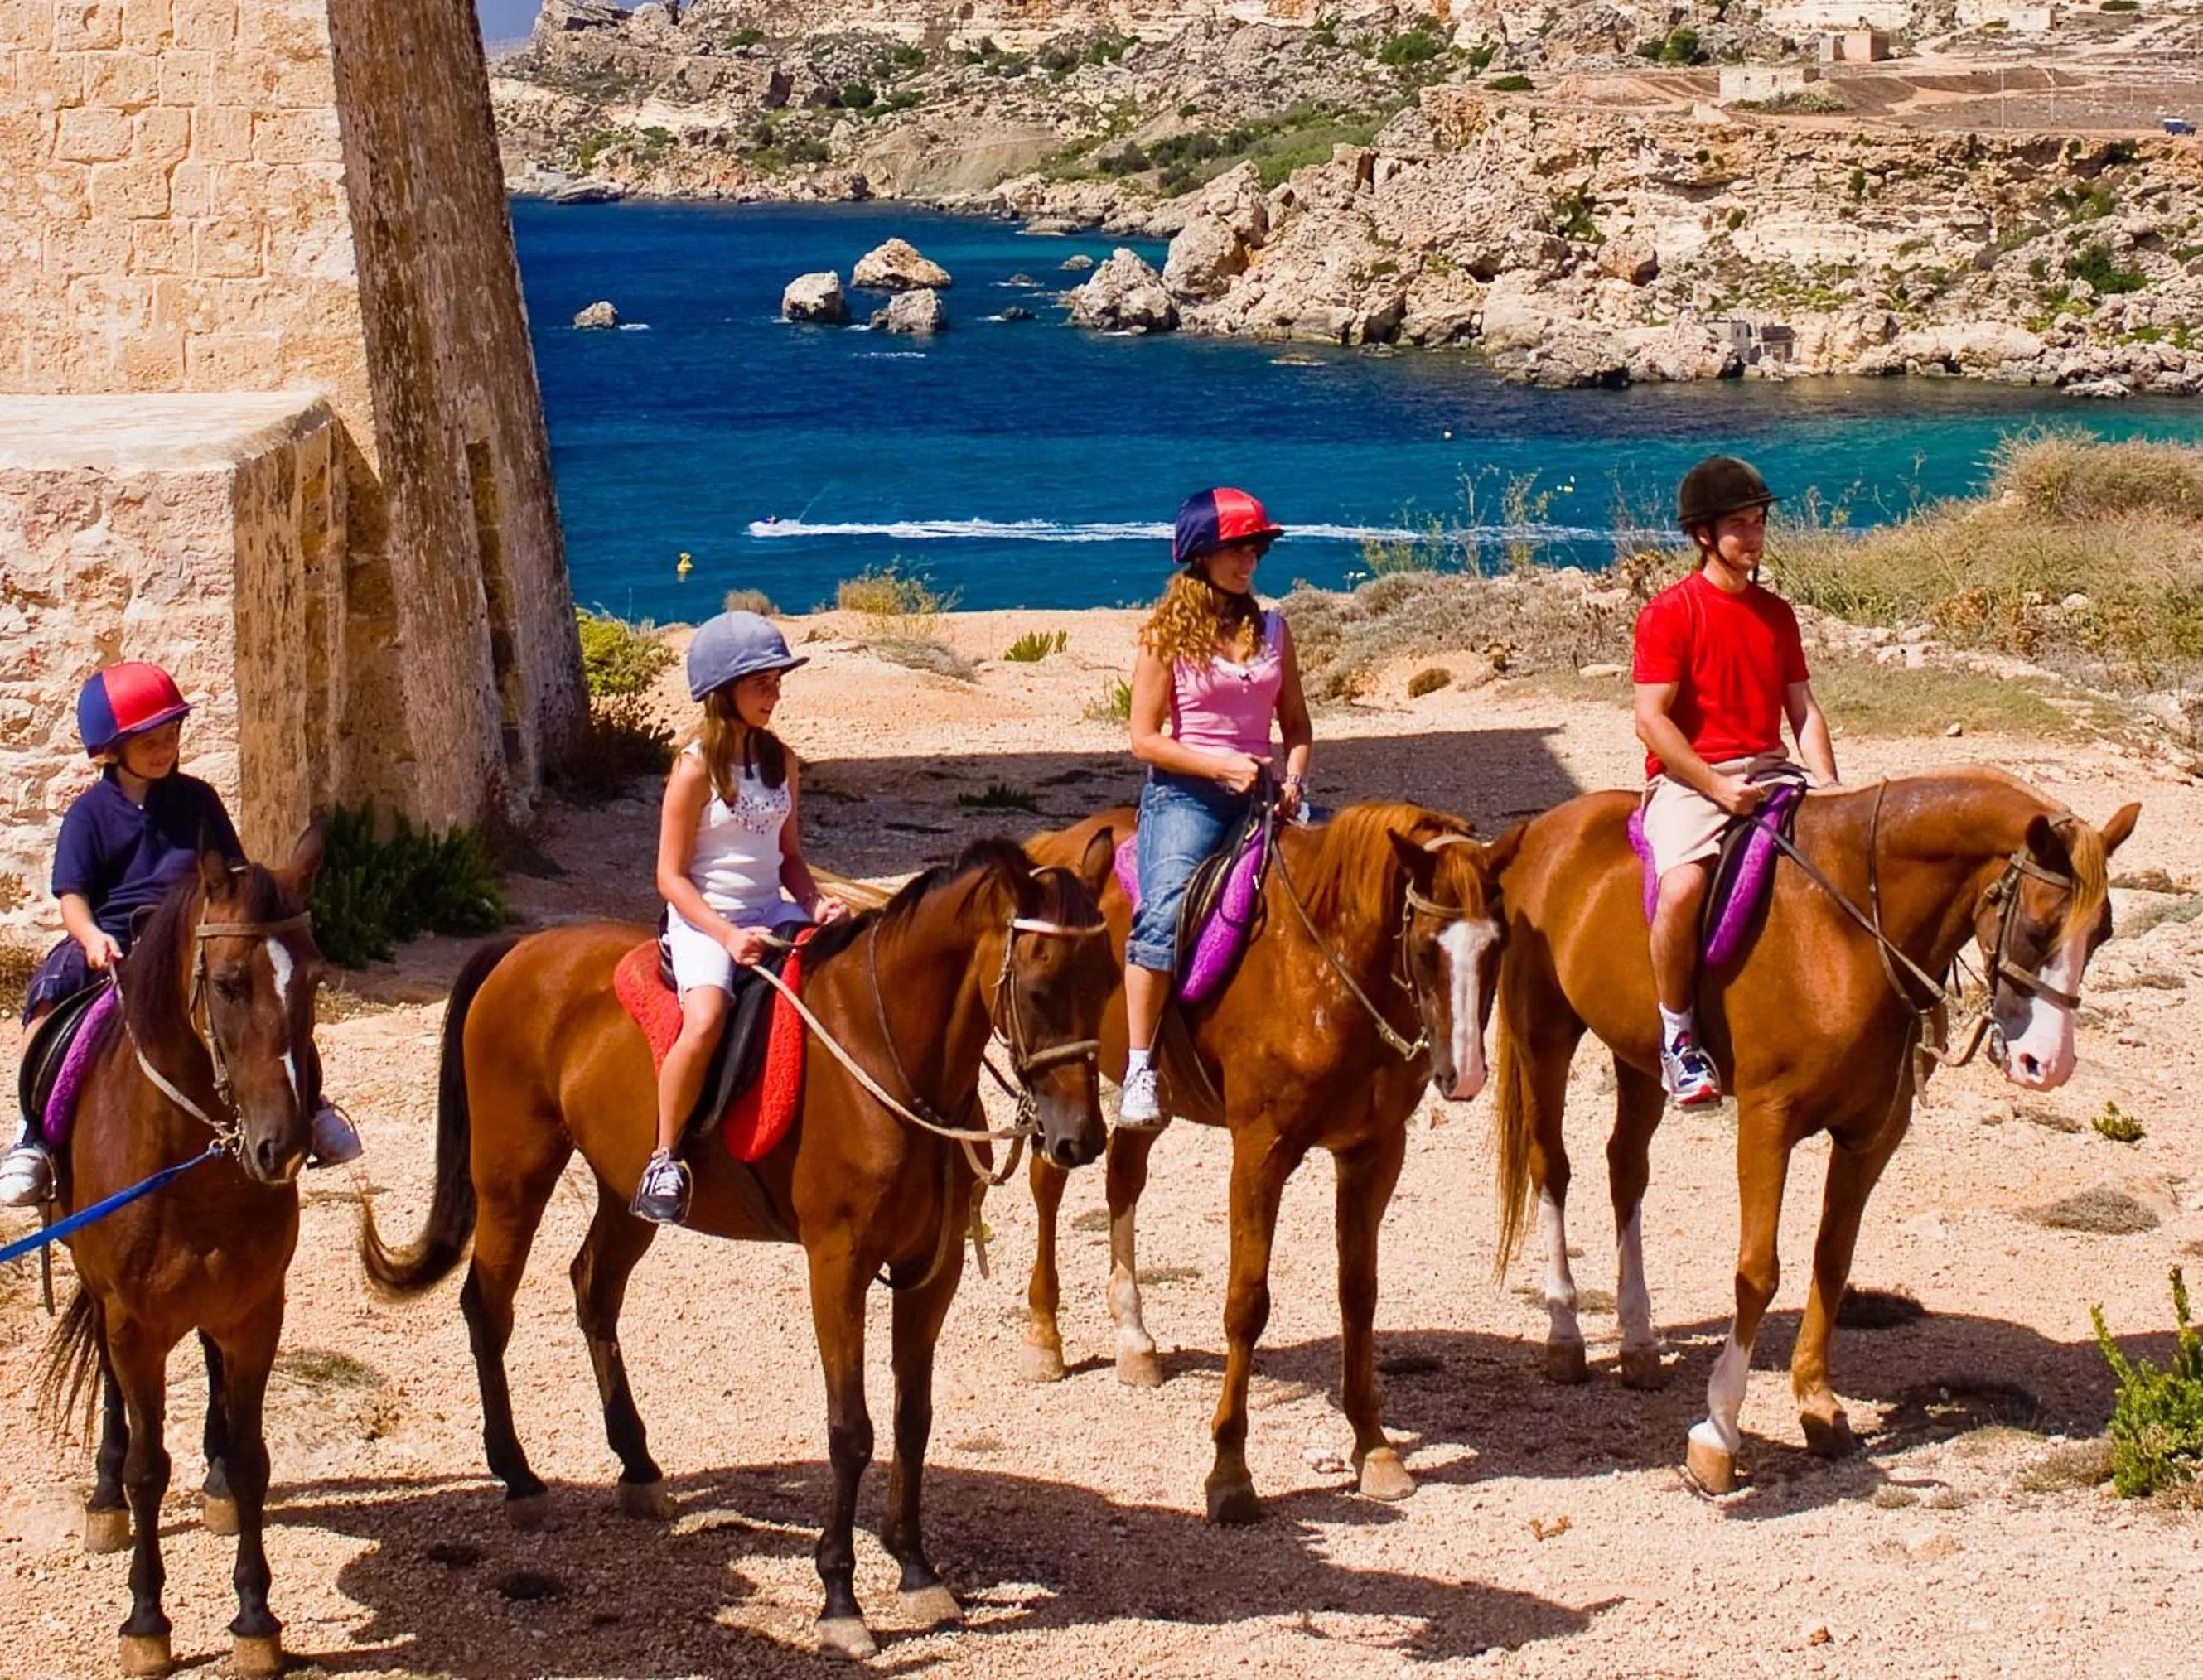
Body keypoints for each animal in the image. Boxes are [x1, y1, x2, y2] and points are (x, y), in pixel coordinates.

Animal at [39, 832, 329, 1679]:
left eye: (315, 978)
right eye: (228, 984)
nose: (281, 1147)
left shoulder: (256, 1311)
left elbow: (254, 1453)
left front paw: (256, 1619)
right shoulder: (134, 1325)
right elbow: (147, 1466)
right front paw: (146, 1623)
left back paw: (219, 1488)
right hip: (100, 1291)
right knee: (111, 1392)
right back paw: (104, 1500)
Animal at [358, 835, 1117, 1660]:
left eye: (1109, 980)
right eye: (1039, 988)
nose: (1080, 1140)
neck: (888, 1058)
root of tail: (521, 950)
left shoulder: (931, 1268)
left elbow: (912, 1419)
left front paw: (917, 1570)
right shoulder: (837, 1264)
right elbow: (851, 1429)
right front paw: (840, 1599)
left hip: (626, 1189)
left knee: (593, 1288)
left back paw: (636, 1465)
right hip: (512, 1179)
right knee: (488, 1309)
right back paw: (520, 1477)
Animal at [1023, 803, 1513, 1523]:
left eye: (1496, 946)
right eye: (1426, 948)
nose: (1466, 1074)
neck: (1323, 968)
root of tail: (1053, 845)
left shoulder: (1372, 1151)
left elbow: (1358, 1295)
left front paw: (1375, 1449)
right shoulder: (1260, 1151)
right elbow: (1246, 1304)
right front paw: (1230, 1473)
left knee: (1123, 1175)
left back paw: (1134, 1341)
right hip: (1057, 1075)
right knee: (1048, 1181)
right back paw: (1044, 1338)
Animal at [1487, 768, 2140, 1491]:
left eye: (2102, 932)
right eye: (2036, 926)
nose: (2046, 1065)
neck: (1844, 933)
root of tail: (1541, 829)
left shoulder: (1870, 1135)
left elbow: (1832, 1261)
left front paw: (1819, 1408)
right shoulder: (1766, 1124)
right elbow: (1756, 1272)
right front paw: (1717, 1434)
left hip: (1635, 1060)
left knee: (1625, 1169)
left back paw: (1636, 1344)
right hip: (1543, 1035)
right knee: (1552, 1167)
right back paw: (1565, 1335)